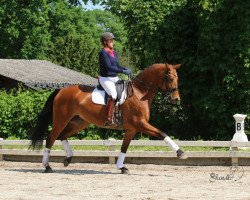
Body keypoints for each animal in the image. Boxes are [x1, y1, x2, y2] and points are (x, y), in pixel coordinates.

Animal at [29, 63, 186, 173]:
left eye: (177, 78)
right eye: (170, 78)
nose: (176, 99)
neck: (140, 93)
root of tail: (61, 90)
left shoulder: (132, 129)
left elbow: (124, 148)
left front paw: (121, 167)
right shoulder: (140, 124)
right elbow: (162, 133)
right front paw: (180, 153)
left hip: (79, 122)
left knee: (63, 135)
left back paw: (68, 159)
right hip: (61, 120)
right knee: (51, 138)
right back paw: (47, 166)